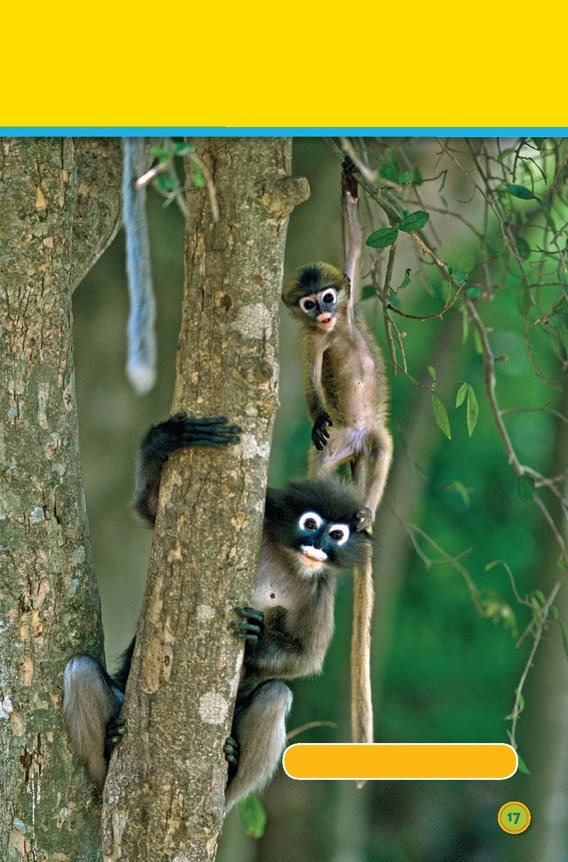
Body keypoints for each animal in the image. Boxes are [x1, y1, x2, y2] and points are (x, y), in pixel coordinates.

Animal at [63, 416, 372, 812]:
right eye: (309, 524)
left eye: (336, 535)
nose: (317, 546)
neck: (287, 559)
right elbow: (150, 508)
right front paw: (168, 438)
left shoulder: (321, 592)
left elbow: (306, 658)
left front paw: (257, 637)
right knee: (81, 670)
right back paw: (109, 748)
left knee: (276, 694)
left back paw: (230, 774)